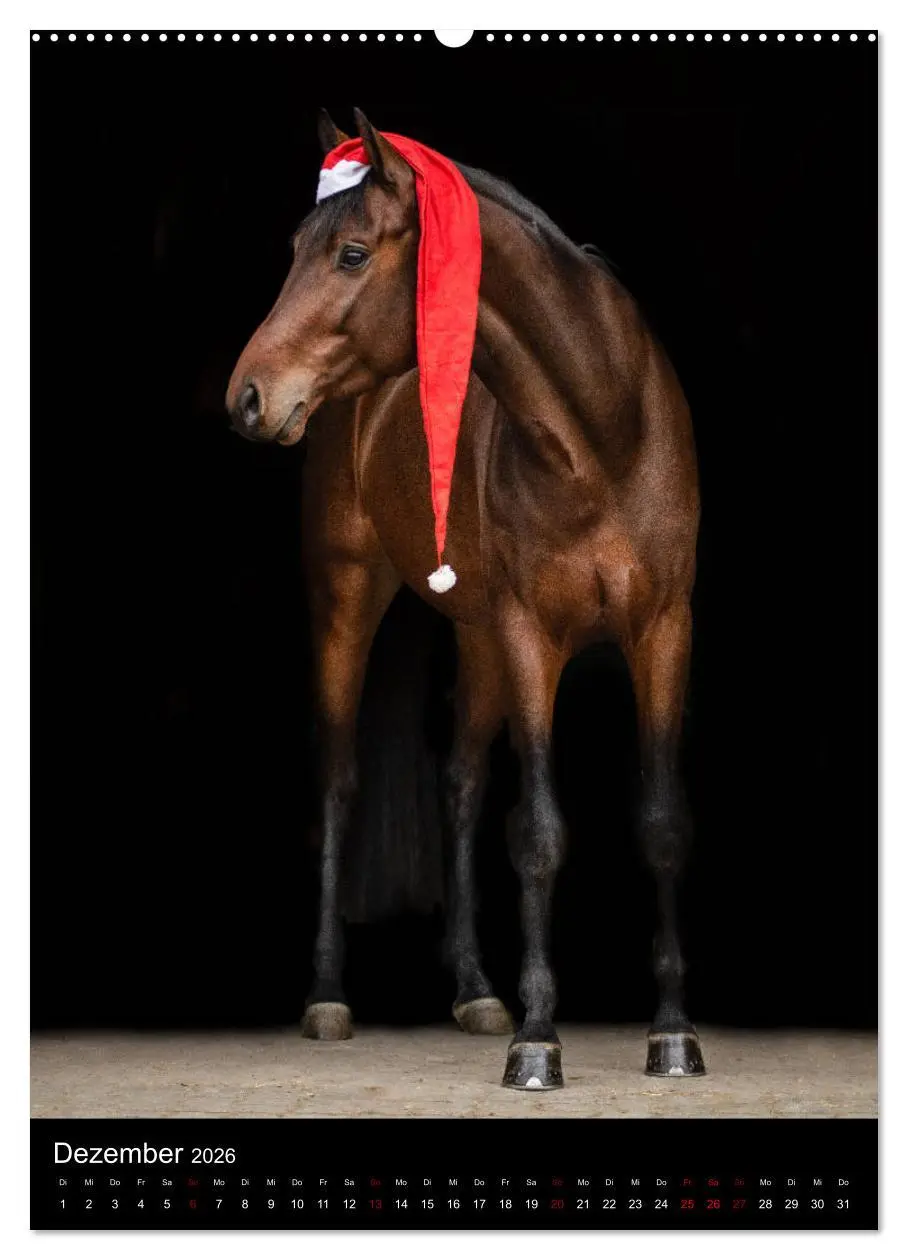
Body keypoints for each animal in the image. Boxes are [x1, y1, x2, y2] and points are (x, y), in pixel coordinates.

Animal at [226, 109, 704, 1090]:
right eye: (296, 248)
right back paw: (328, 996)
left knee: (460, 784)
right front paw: (540, 1041)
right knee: (339, 783)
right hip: (350, 596)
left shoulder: (662, 629)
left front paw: (673, 1035)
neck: (603, 433)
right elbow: (539, 834)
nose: (247, 396)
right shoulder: (532, 636)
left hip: (480, 637)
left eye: (352, 254)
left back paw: (478, 989)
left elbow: (661, 822)